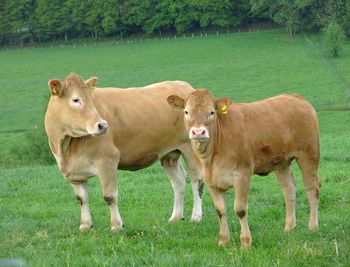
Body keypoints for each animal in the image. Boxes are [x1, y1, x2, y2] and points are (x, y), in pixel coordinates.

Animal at [44, 73, 202, 232]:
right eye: (75, 99)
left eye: (92, 100)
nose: (103, 125)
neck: (65, 147)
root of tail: (185, 86)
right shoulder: (74, 173)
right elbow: (81, 199)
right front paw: (85, 225)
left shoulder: (108, 160)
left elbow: (110, 196)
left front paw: (116, 225)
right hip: (169, 154)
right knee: (179, 181)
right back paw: (176, 217)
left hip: (191, 148)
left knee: (197, 180)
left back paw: (196, 217)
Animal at [168, 90, 322, 249]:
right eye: (186, 112)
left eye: (212, 112)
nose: (198, 132)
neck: (211, 158)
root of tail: (295, 97)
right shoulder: (210, 180)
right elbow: (220, 211)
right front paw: (223, 241)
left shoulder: (242, 174)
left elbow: (240, 209)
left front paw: (245, 242)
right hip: (282, 162)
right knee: (289, 188)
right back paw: (289, 227)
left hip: (309, 154)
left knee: (312, 188)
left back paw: (313, 226)